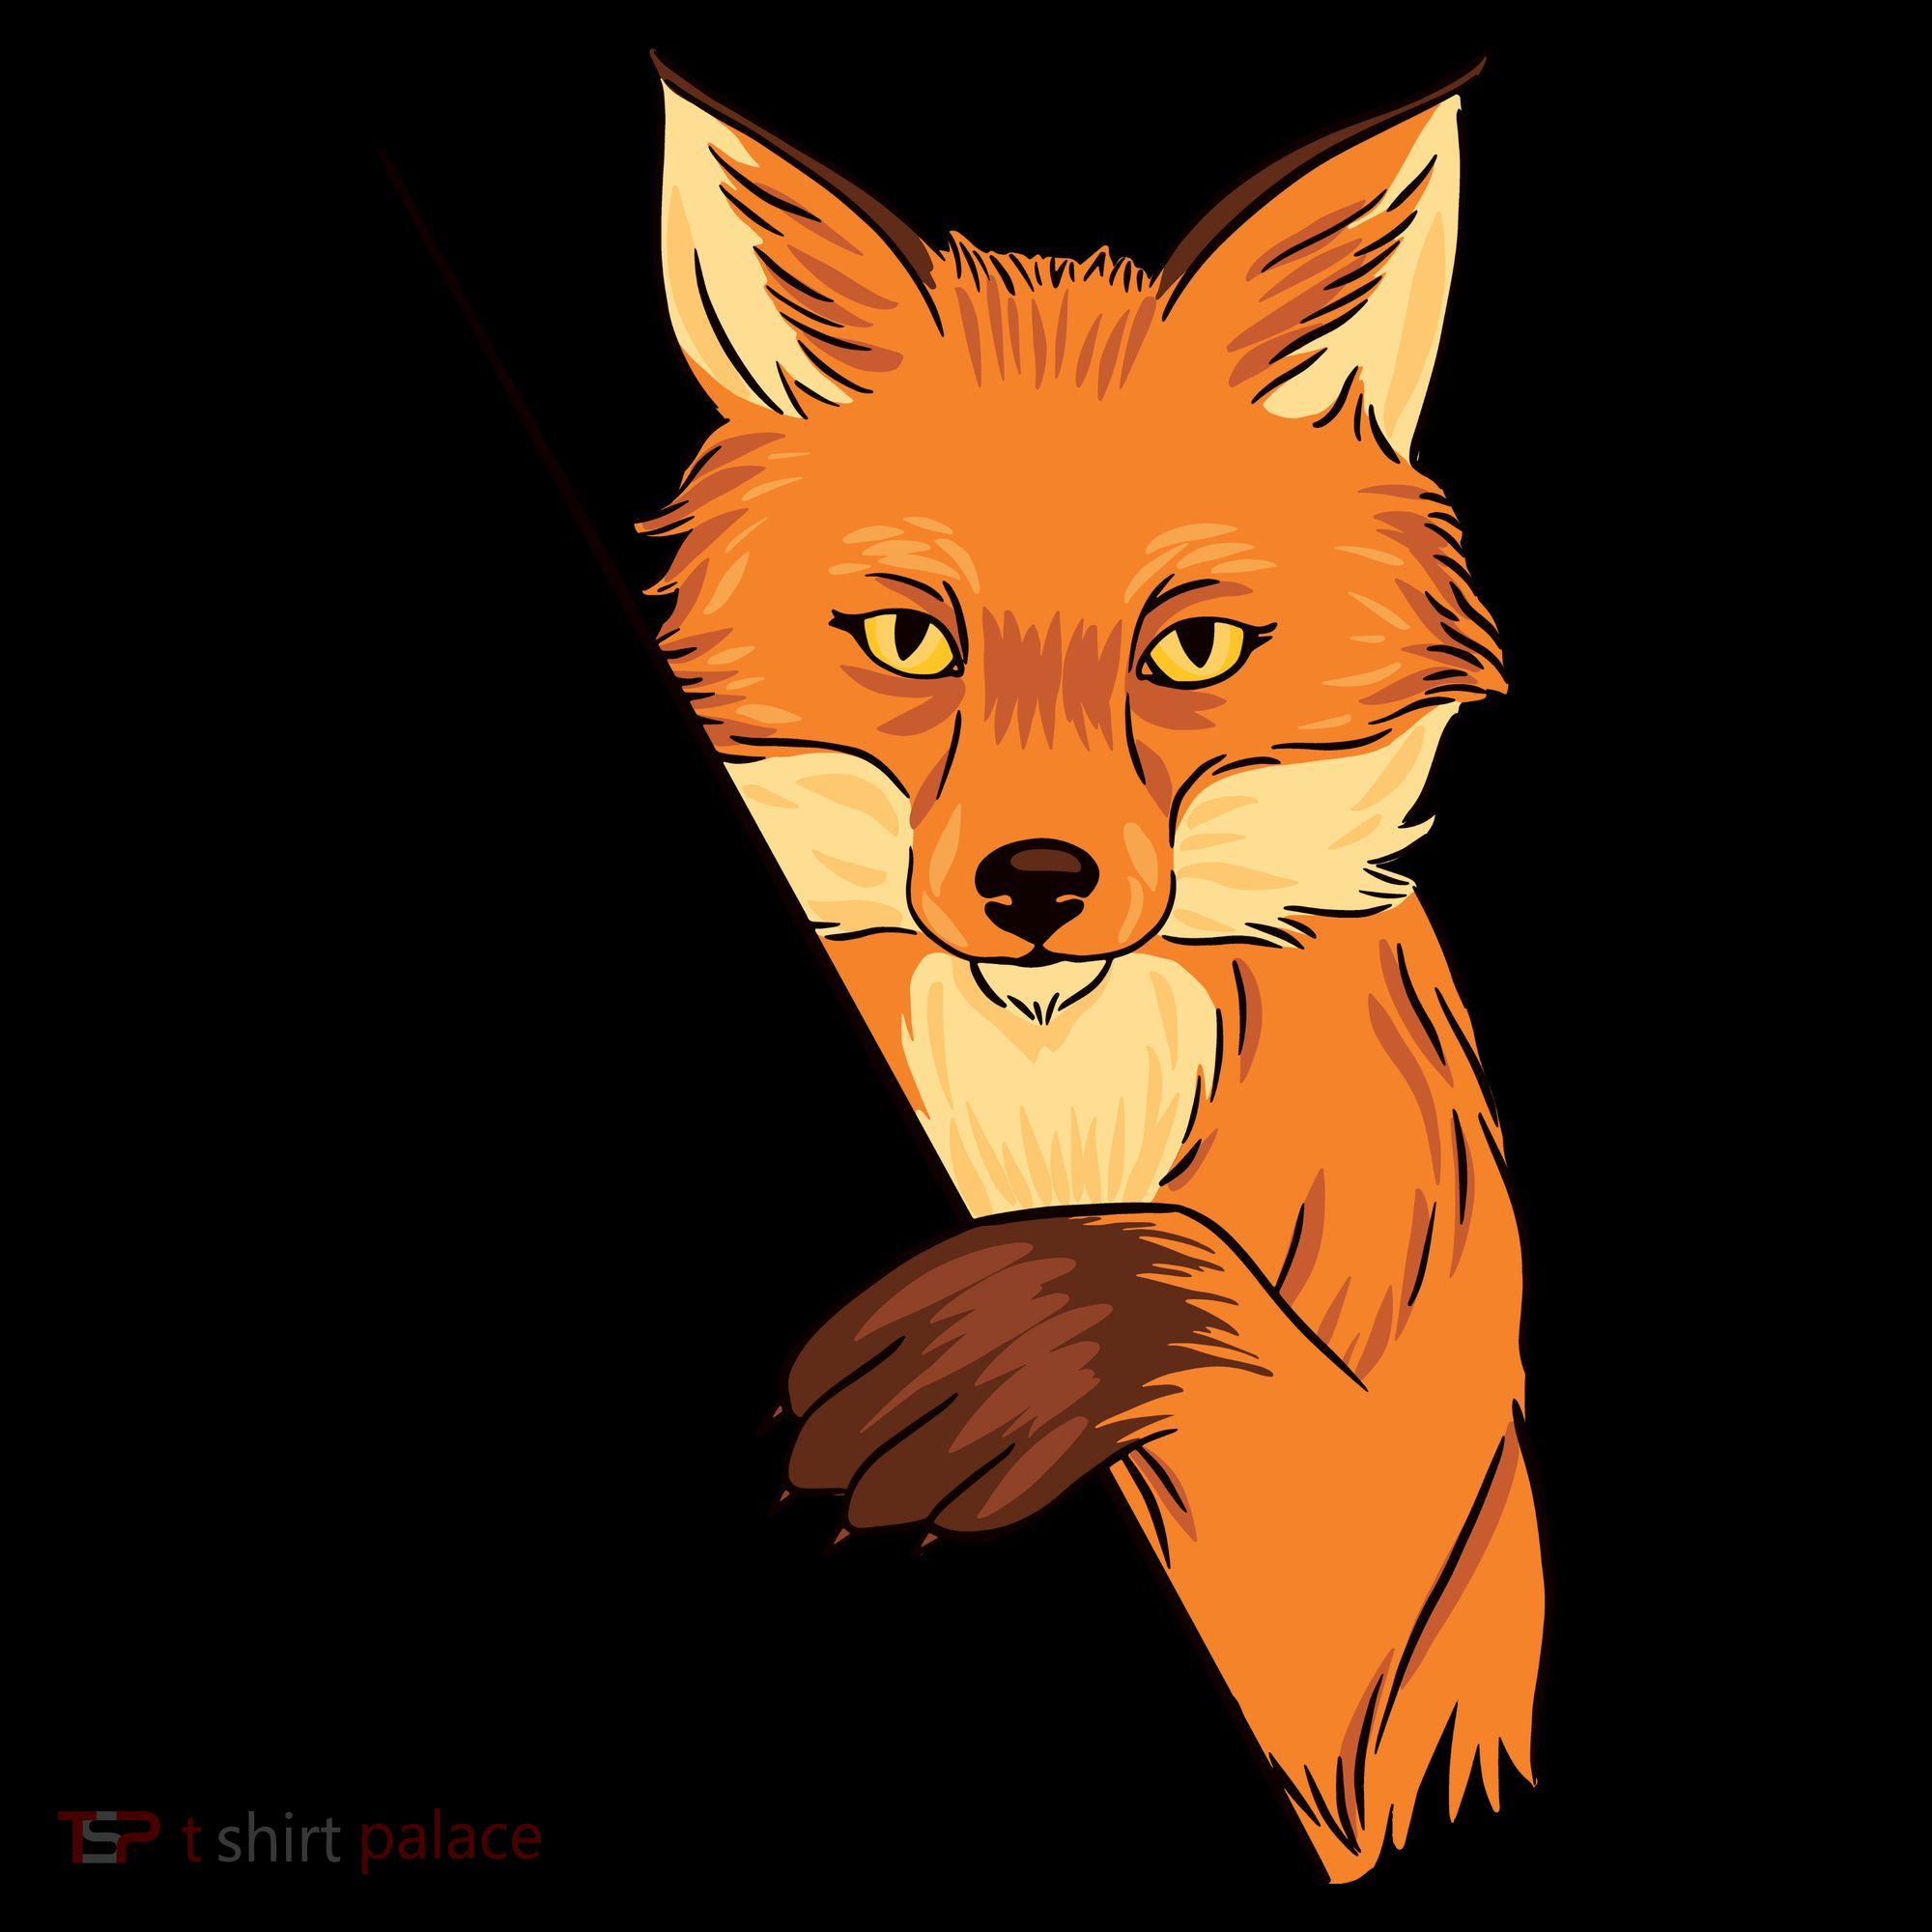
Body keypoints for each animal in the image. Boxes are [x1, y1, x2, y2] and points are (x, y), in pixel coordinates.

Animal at [642, 55, 1542, 1881]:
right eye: (909, 638)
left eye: (1189, 649)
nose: (1037, 890)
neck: (1053, 1101)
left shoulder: (1397, 1624)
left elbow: (1190, 1299)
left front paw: (1018, 1349)